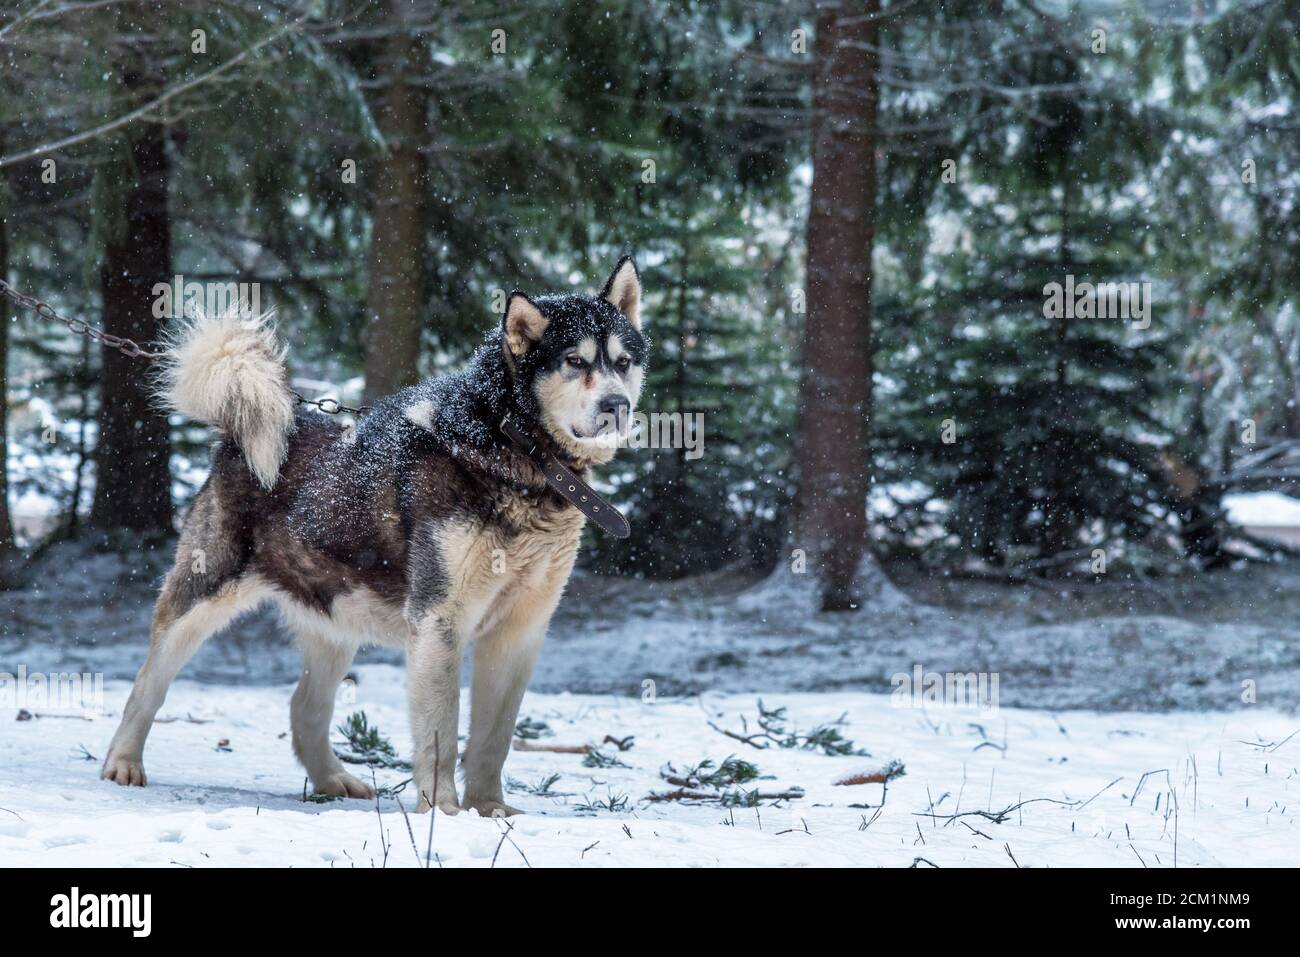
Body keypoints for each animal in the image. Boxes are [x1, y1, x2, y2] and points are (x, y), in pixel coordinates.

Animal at [98, 256, 647, 816]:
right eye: (575, 361)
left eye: (623, 362)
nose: (615, 405)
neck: (514, 452)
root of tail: (248, 432)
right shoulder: (438, 622)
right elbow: (441, 734)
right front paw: (444, 813)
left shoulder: (521, 630)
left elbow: (493, 740)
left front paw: (490, 809)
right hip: (201, 597)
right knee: (148, 684)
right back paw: (123, 762)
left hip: (336, 624)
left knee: (303, 708)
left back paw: (332, 780)